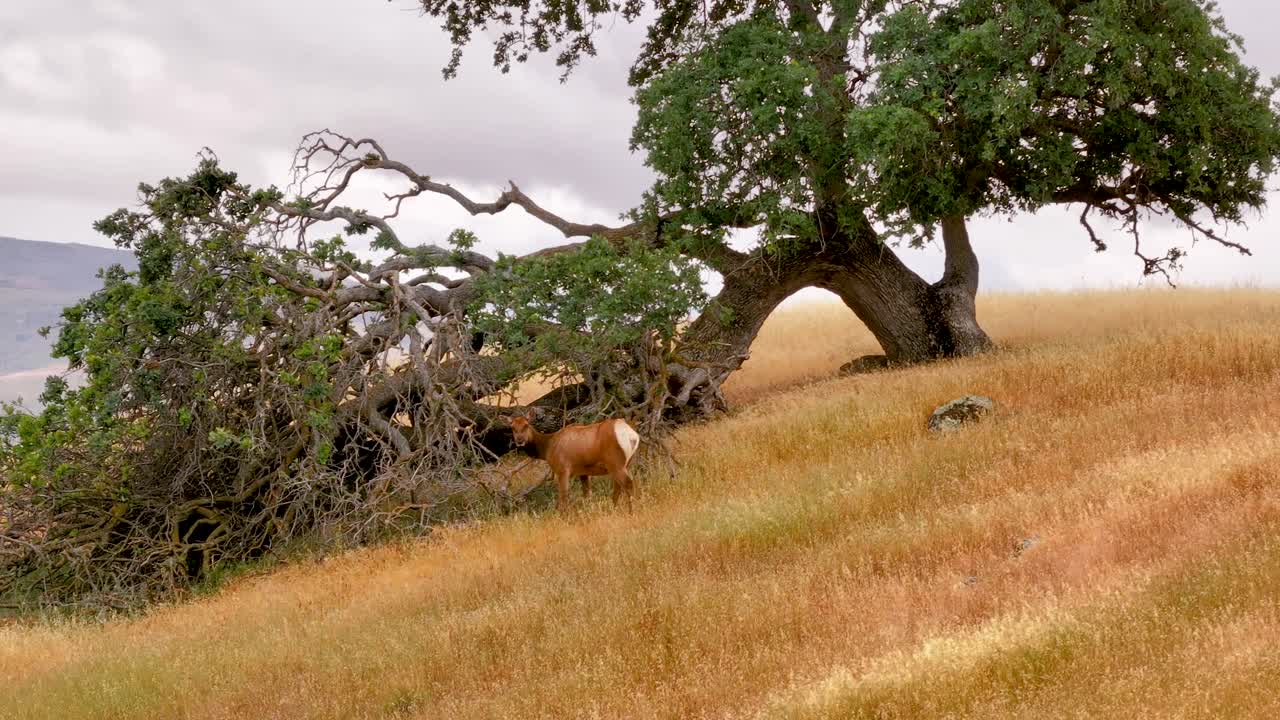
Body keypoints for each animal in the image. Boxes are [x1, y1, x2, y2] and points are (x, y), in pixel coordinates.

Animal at [506, 414, 641, 512]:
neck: (548, 448)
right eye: (512, 427)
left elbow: (563, 498)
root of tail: (632, 436)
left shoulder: (562, 470)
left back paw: (632, 512)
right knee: (618, 487)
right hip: (626, 463)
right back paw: (615, 509)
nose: (519, 441)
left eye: (526, 425)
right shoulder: (584, 472)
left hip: (616, 463)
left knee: (628, 484)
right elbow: (587, 495)